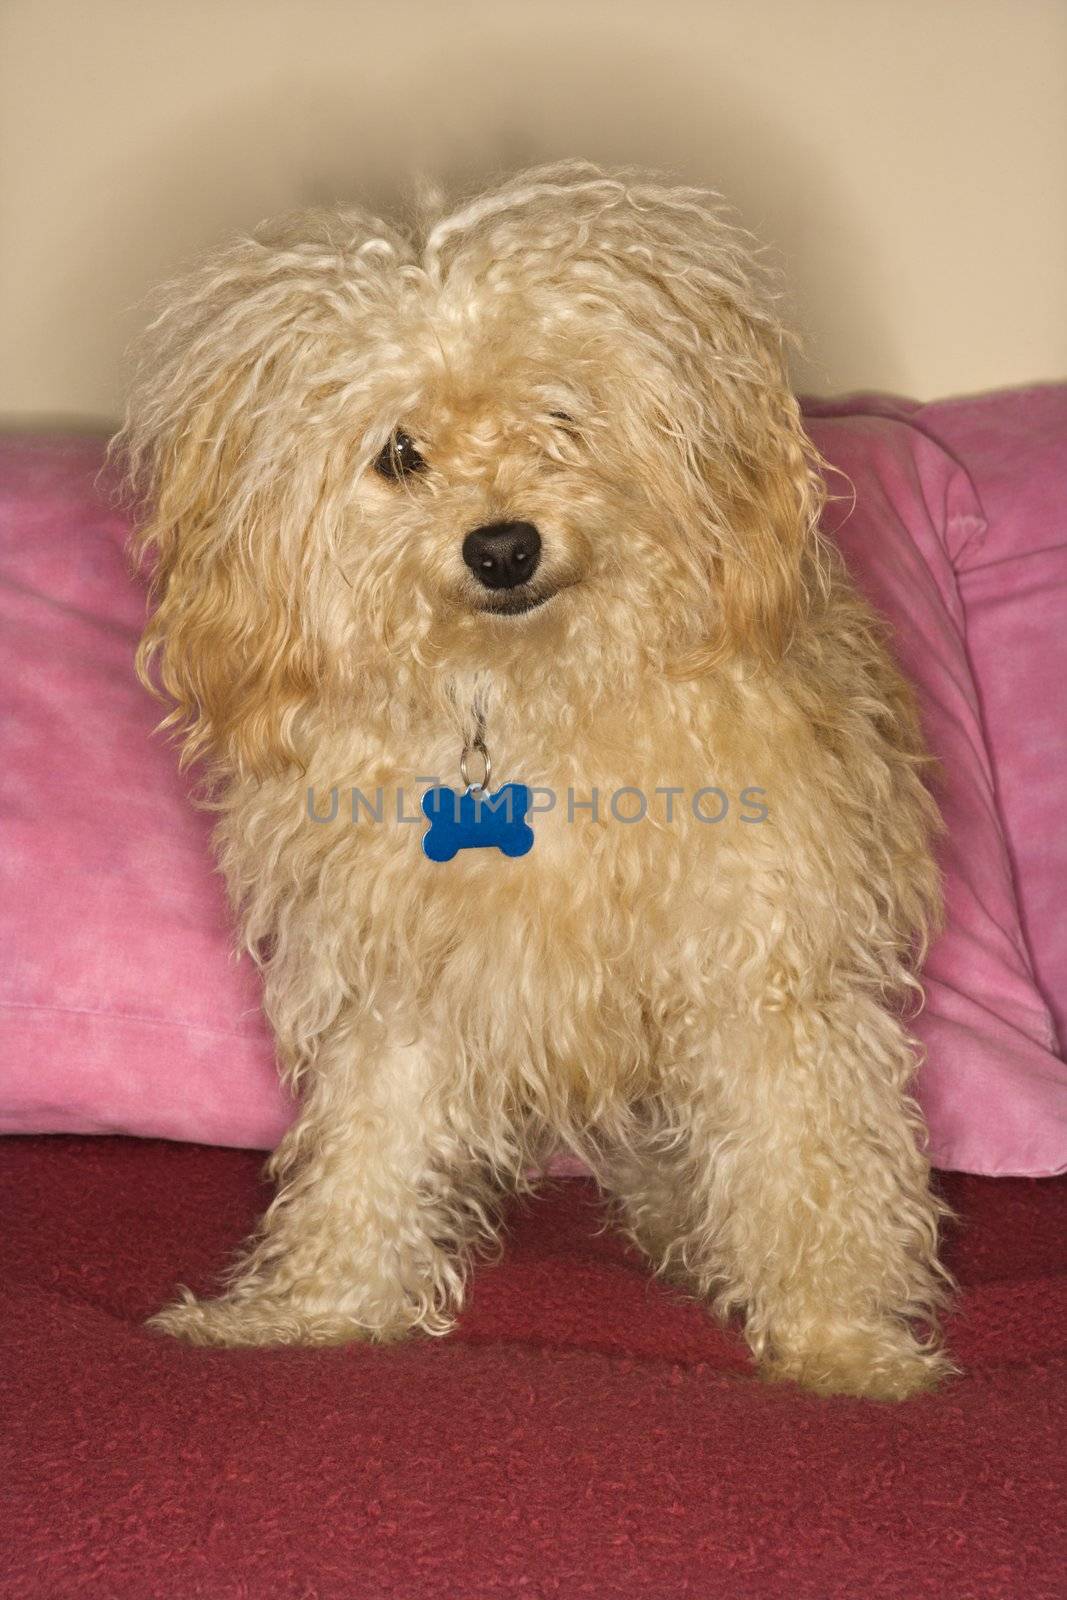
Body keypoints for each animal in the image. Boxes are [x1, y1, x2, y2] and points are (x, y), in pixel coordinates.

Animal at [120, 162, 953, 1401]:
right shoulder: (401, 980)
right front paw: (313, 1309)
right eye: (399, 452)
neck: (520, 709)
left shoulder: (761, 972)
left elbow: (802, 1157)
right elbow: (369, 1151)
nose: (502, 547)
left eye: (559, 417)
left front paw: (840, 1340)